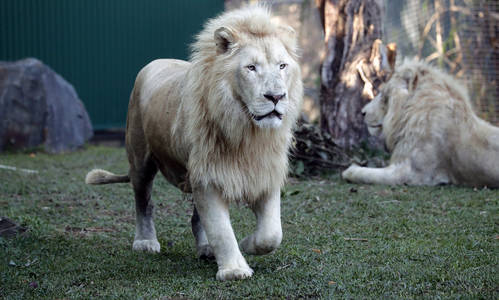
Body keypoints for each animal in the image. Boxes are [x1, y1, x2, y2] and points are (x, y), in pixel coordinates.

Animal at [85, 5, 302, 280]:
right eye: (251, 67)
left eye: (282, 65)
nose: (276, 96)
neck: (247, 132)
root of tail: (156, 61)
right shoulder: (207, 178)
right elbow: (221, 229)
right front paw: (234, 269)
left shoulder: (264, 171)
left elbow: (271, 234)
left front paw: (245, 244)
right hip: (140, 159)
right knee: (144, 202)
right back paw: (145, 242)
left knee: (196, 218)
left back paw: (206, 249)